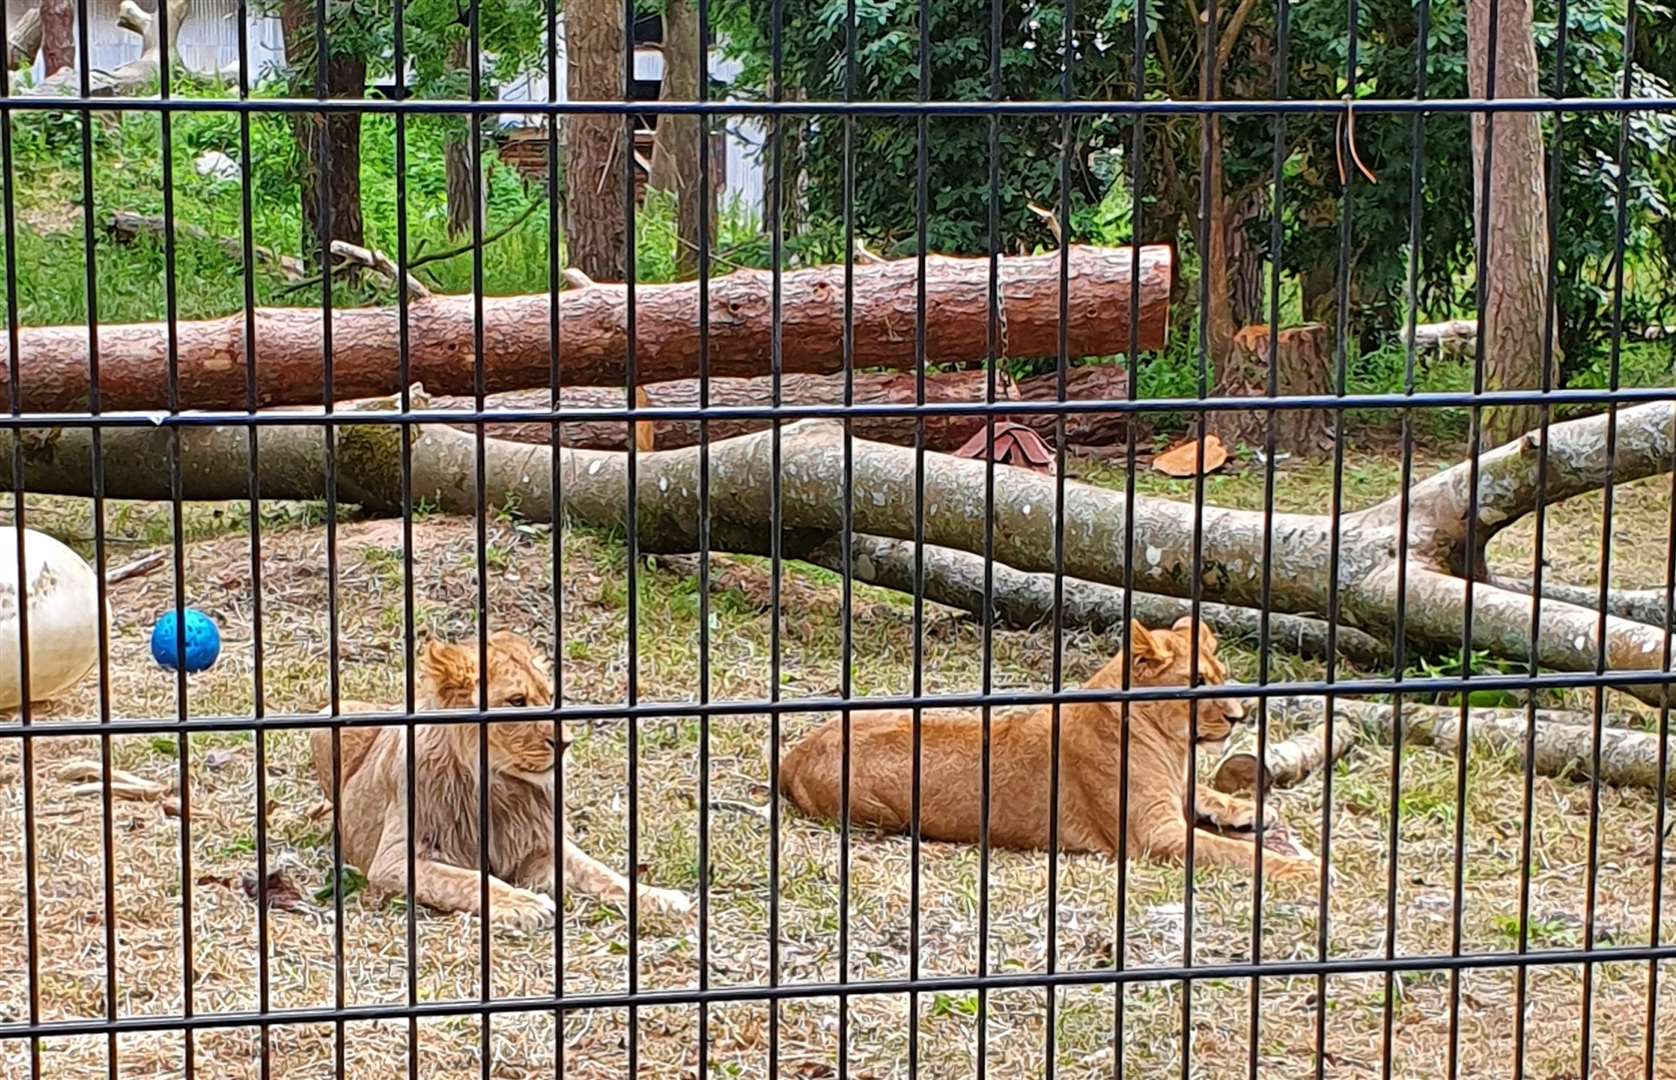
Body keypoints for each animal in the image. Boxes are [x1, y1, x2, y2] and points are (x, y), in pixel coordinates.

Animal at [311, 633, 690, 925]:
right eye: (517, 701)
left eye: (550, 697)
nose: (566, 742)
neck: (496, 787)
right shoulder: (392, 861)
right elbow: (471, 880)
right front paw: (526, 905)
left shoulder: (539, 847)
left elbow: (601, 874)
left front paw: (658, 896)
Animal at [777, 610, 1313, 878]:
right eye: (1198, 682)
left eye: (1221, 674)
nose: (1241, 717)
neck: (1171, 745)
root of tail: (792, 755)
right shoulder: (1152, 836)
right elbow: (1235, 854)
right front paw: (1307, 872)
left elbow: (1206, 794)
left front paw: (1249, 809)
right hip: (879, 811)